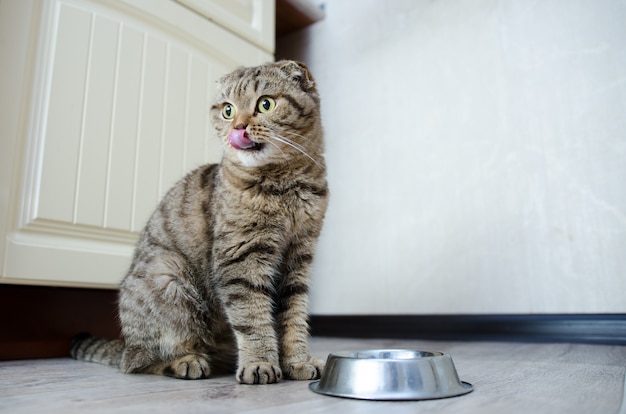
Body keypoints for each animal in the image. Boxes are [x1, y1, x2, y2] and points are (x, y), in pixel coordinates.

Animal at [69, 60, 326, 384]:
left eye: (265, 104)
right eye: (228, 110)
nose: (237, 127)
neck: (285, 185)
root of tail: (126, 344)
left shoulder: (299, 259)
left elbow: (293, 320)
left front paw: (298, 362)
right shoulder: (241, 259)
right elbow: (253, 318)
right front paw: (260, 363)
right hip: (168, 278)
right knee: (143, 361)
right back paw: (187, 361)